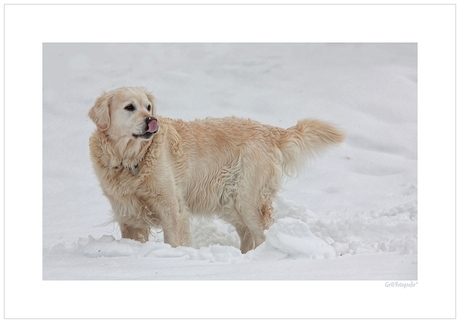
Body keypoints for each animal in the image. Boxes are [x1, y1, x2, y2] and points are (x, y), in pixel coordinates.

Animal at [88, 87, 344, 254]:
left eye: (148, 106)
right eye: (129, 107)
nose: (152, 120)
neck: (130, 159)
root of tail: (269, 131)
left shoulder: (170, 205)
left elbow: (175, 238)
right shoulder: (127, 212)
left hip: (248, 199)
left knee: (261, 233)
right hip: (228, 201)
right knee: (247, 235)